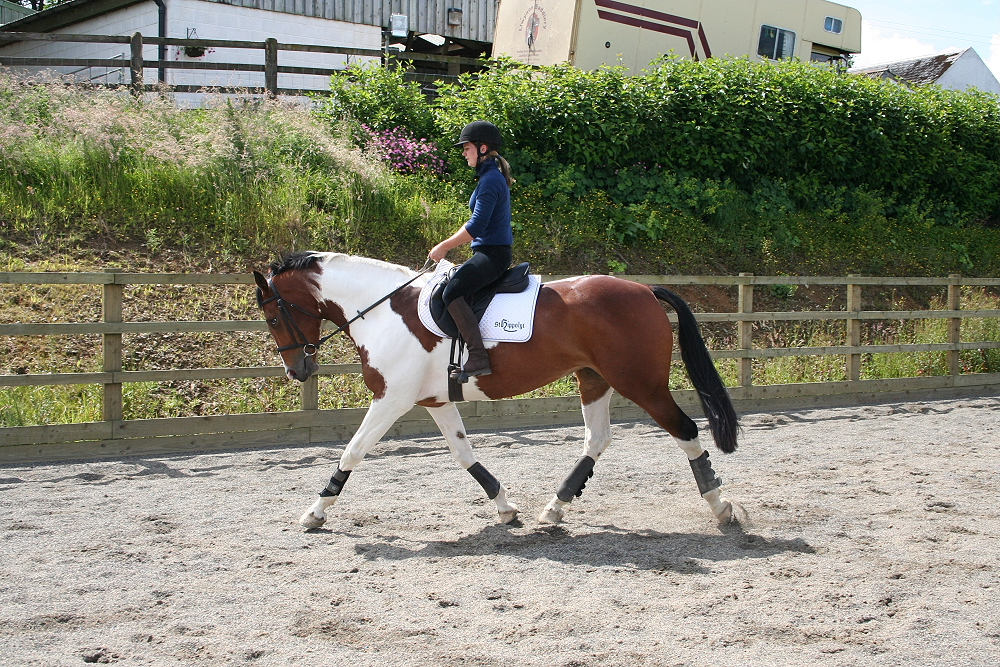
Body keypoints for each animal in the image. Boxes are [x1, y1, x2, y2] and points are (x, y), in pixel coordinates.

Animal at [253, 251, 740, 530]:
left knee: (685, 431)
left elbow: (352, 451)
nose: (298, 371)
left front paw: (315, 512)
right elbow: (463, 453)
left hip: (641, 384)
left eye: (273, 318)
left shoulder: (391, 400)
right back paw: (555, 508)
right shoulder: (435, 401)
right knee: (597, 439)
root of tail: (645, 289)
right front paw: (505, 507)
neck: (381, 311)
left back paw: (722, 508)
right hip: (594, 379)